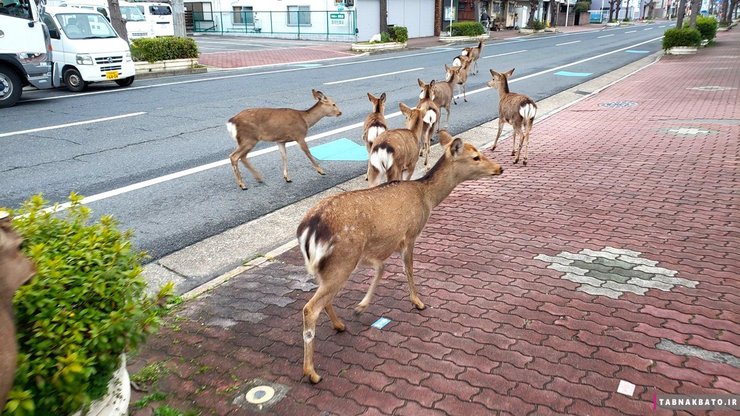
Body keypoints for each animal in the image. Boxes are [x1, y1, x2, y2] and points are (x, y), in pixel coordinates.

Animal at [294, 130, 502, 384]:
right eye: (475, 157)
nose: (499, 168)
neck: (427, 198)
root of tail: (308, 229)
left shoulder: (381, 245)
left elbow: (381, 270)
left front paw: (360, 307)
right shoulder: (410, 234)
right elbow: (408, 269)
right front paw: (418, 302)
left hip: (326, 266)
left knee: (324, 299)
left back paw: (339, 324)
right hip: (342, 261)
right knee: (310, 308)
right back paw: (312, 372)